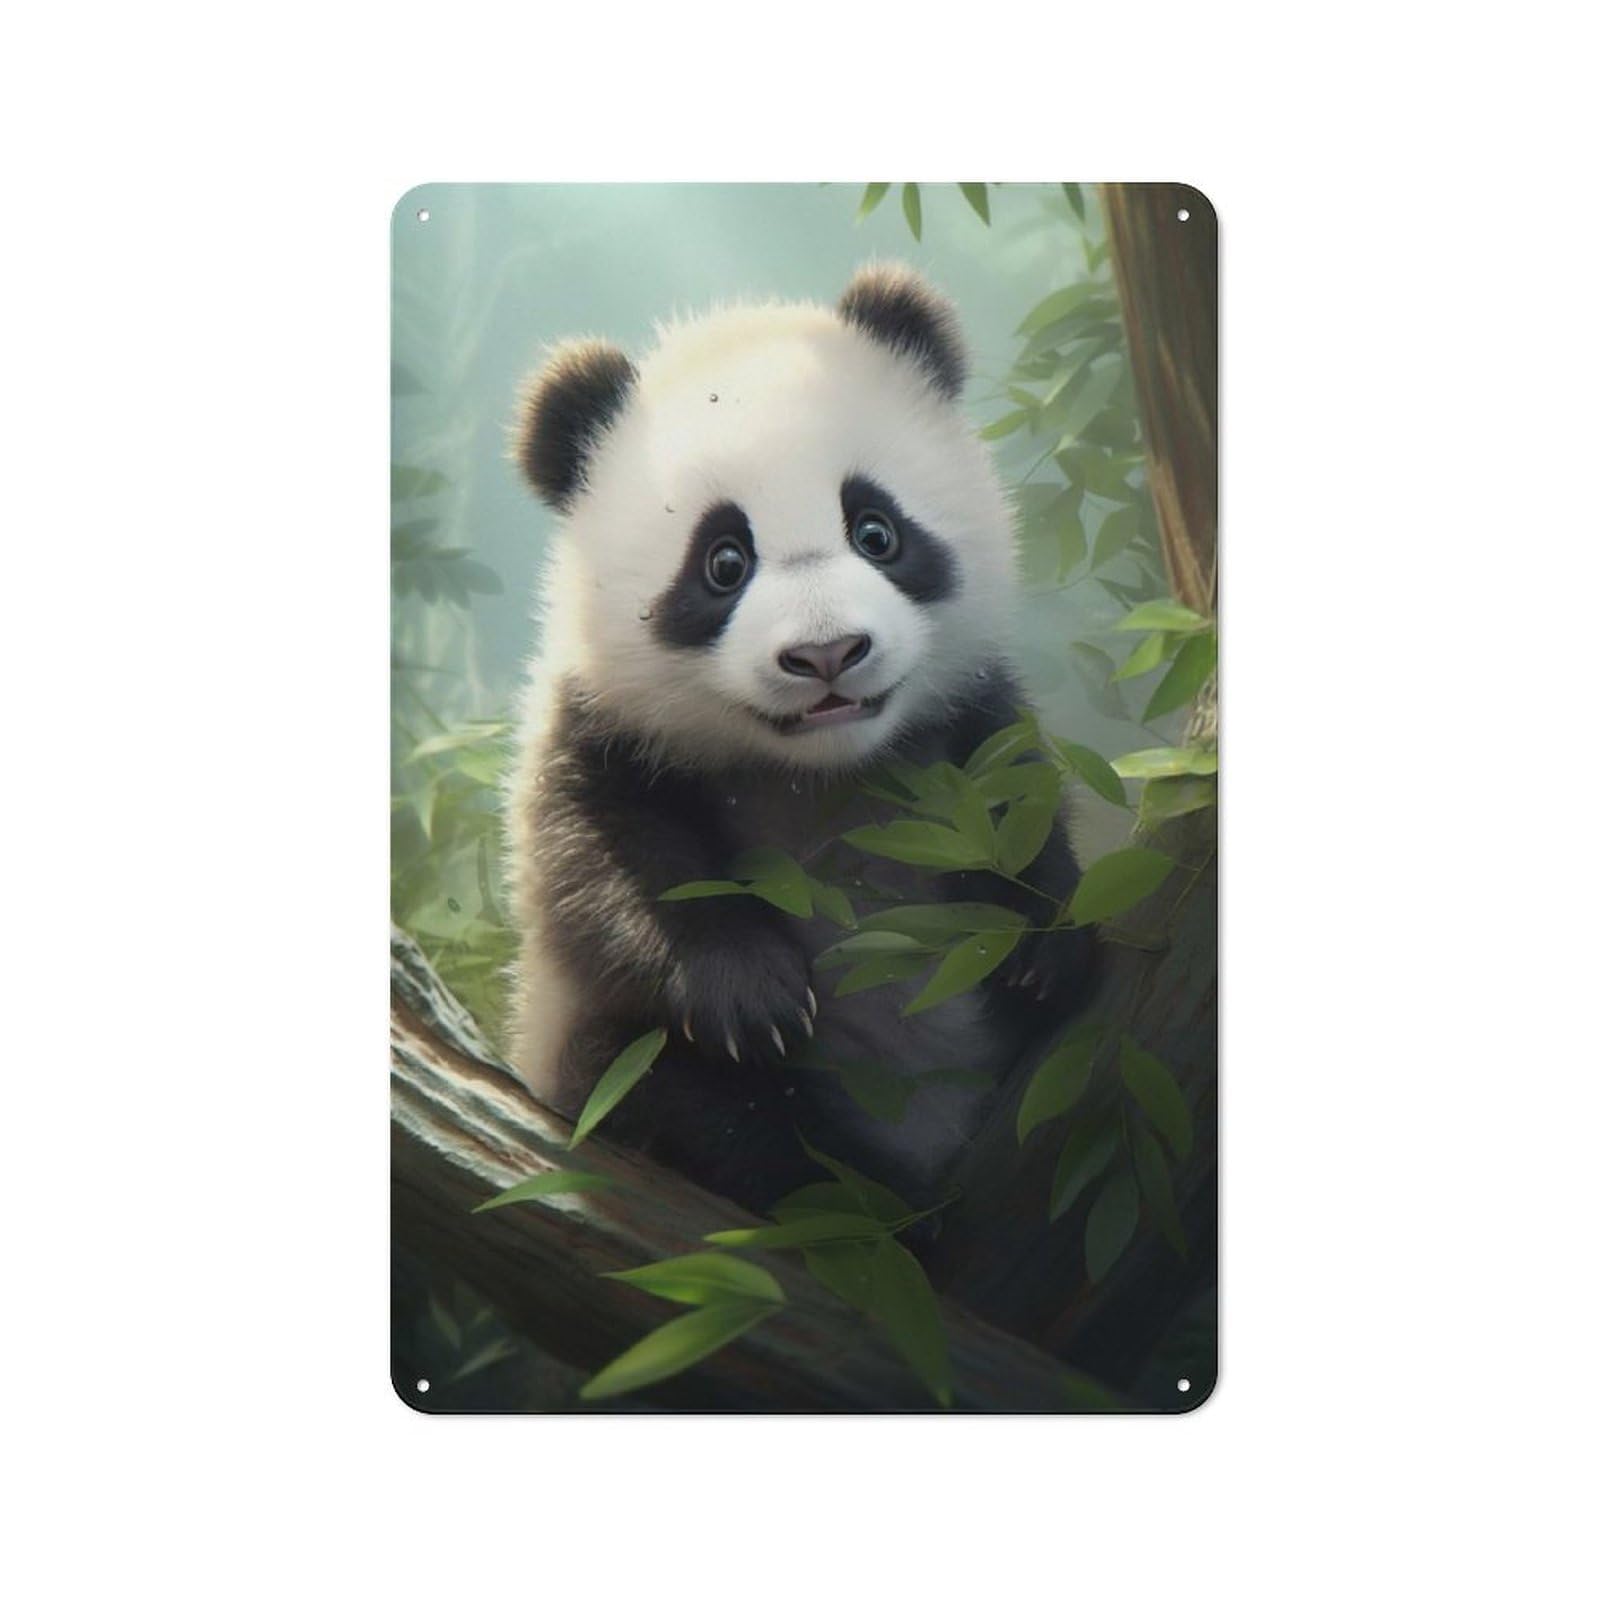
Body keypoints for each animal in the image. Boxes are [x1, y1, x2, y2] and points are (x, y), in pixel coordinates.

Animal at [503, 264, 1097, 1215]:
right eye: (724, 561)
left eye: (877, 531)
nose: (827, 654)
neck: (818, 775)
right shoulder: (596, 730)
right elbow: (591, 870)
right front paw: (752, 996)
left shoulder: (963, 720)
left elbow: (1017, 800)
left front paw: (1036, 948)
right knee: (685, 1101)